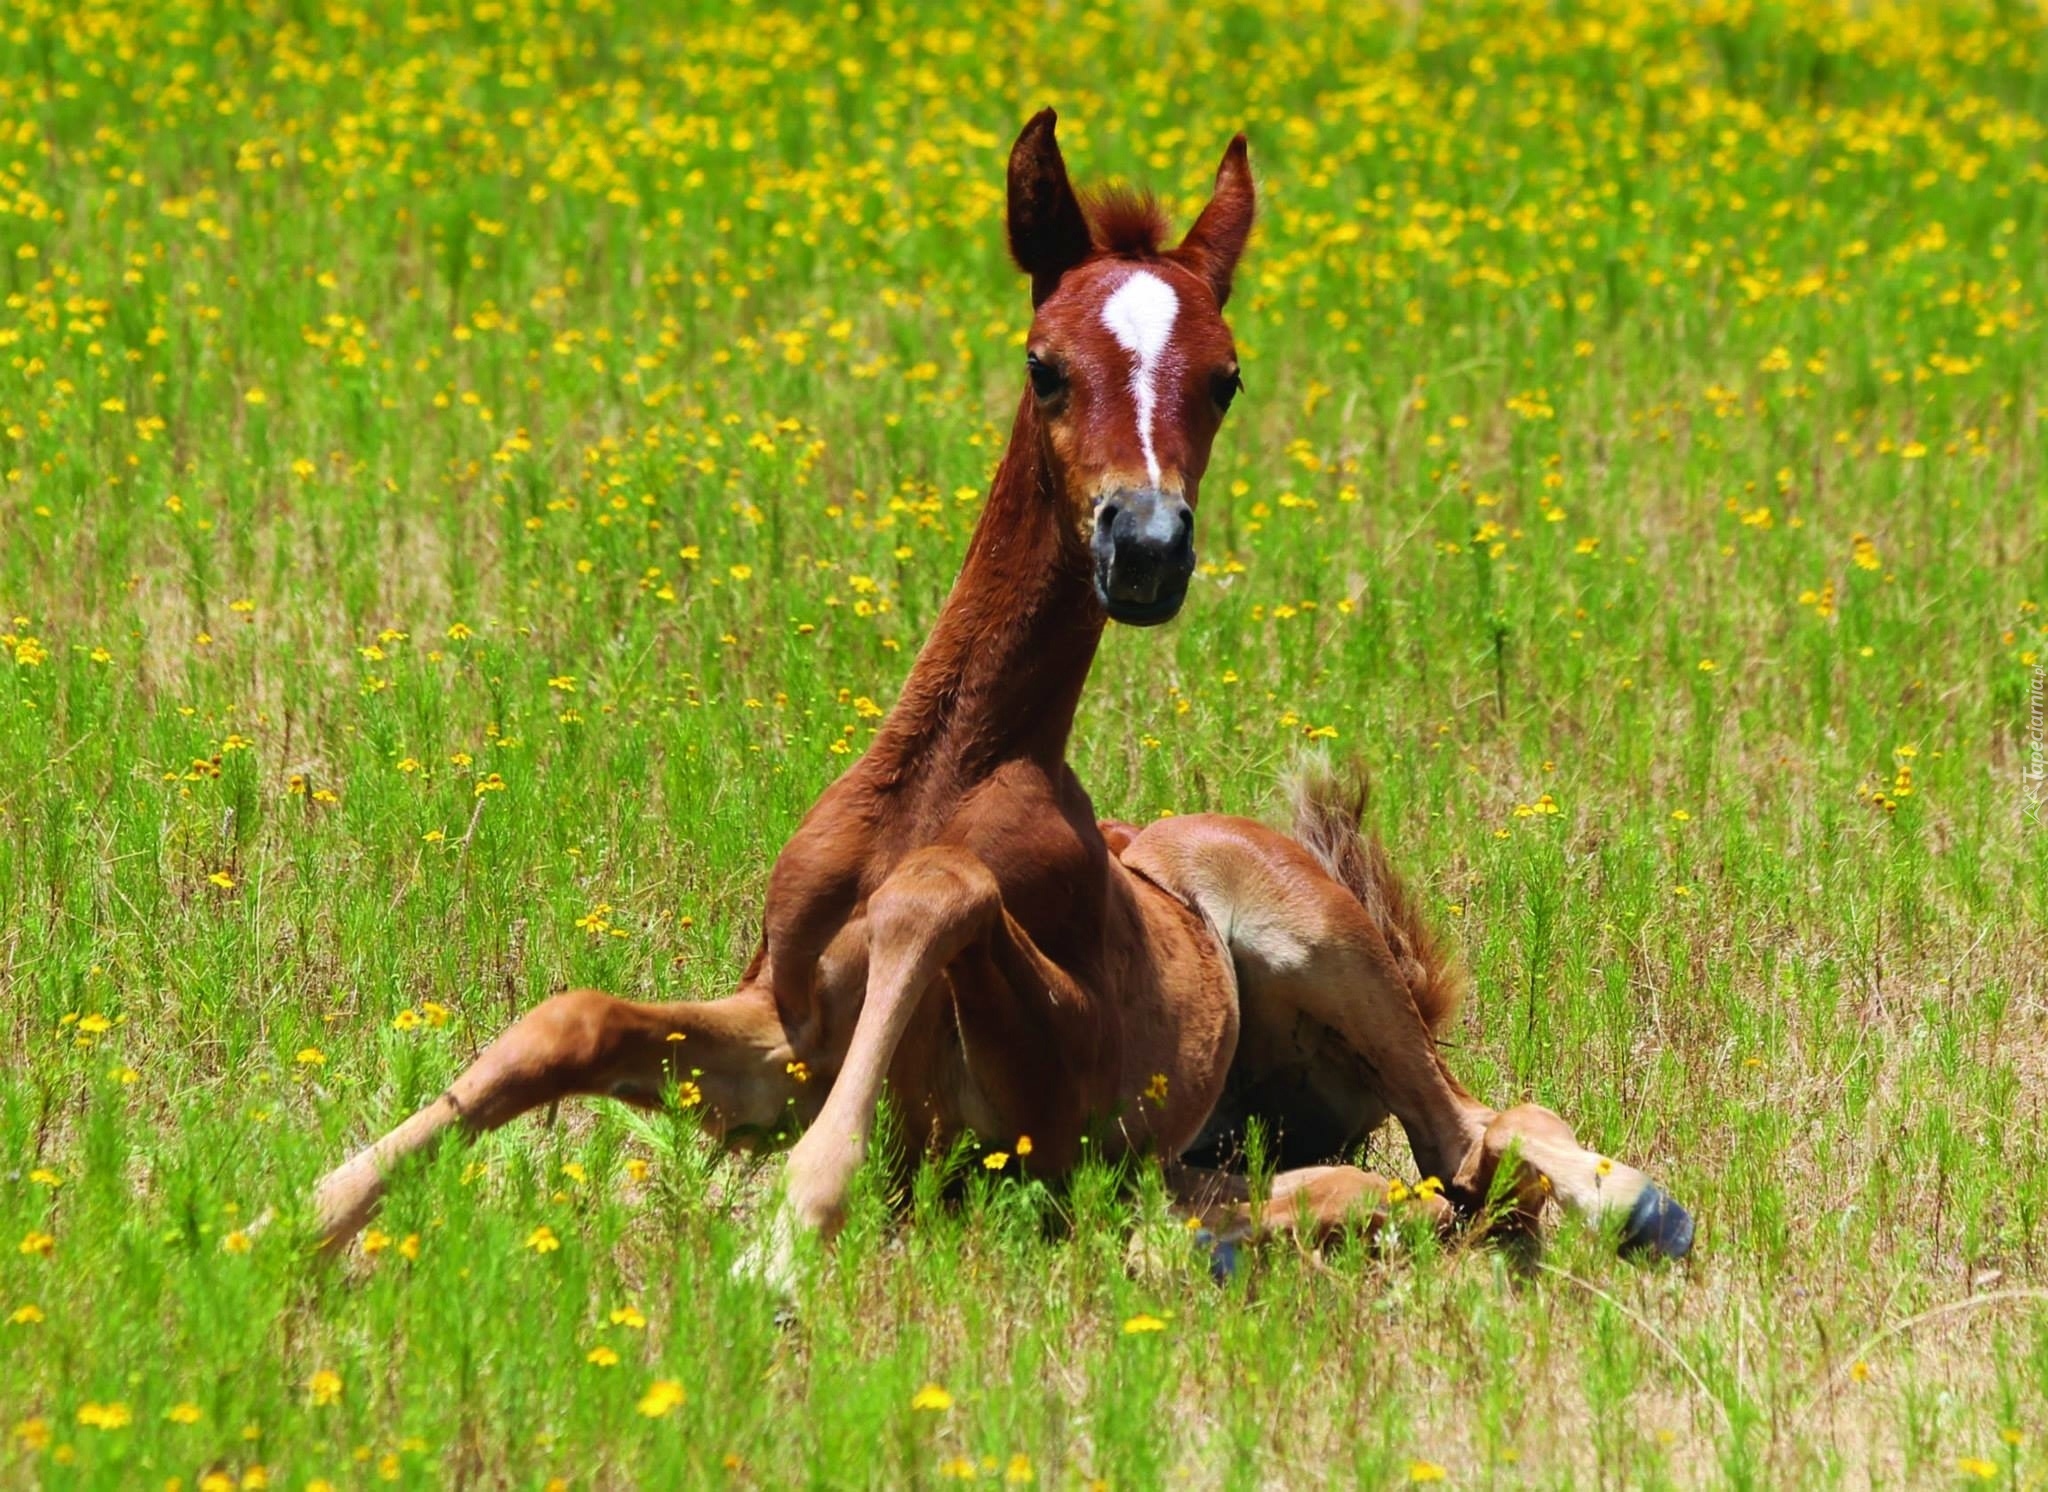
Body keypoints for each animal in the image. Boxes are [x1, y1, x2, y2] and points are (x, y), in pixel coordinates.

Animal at [315, 110, 1695, 1277]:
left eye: (1225, 376)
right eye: (1044, 365)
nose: (1144, 546)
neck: (937, 776)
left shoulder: (1054, 1093)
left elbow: (943, 892)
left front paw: (785, 1240)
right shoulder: (780, 1044)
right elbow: (571, 1019)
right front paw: (306, 1213)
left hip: (1307, 929)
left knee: (1472, 1136)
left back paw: (1631, 1202)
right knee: (1370, 1179)